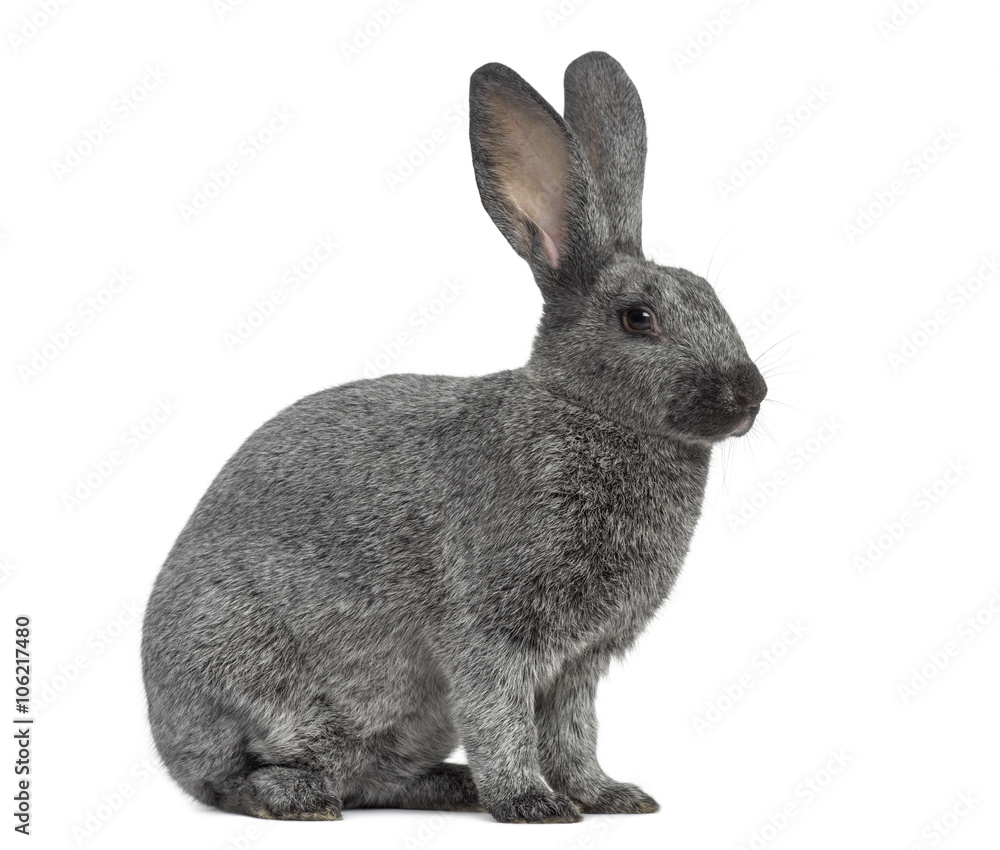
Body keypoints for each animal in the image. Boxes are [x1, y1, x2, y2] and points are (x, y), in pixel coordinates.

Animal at [141, 50, 767, 824]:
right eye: (638, 318)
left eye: (712, 297)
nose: (749, 395)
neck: (584, 410)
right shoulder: (492, 636)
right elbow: (503, 720)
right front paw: (533, 803)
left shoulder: (578, 664)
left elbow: (574, 731)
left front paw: (609, 795)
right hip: (251, 670)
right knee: (235, 779)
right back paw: (301, 799)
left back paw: (450, 786)